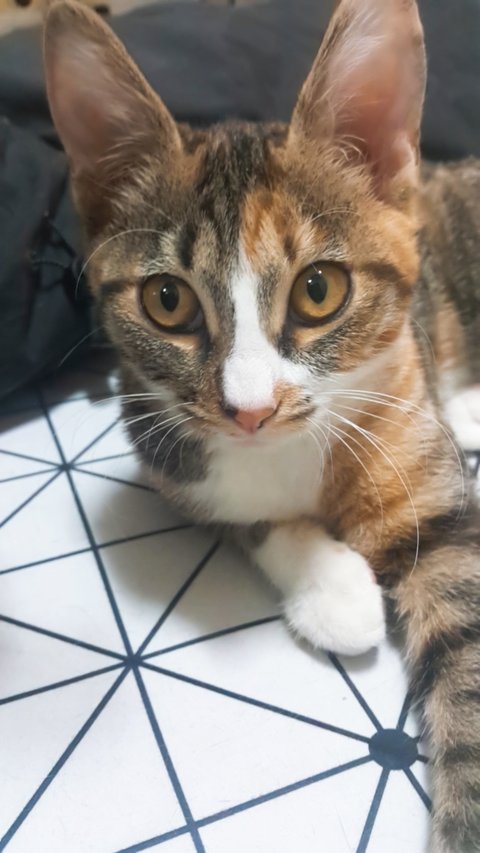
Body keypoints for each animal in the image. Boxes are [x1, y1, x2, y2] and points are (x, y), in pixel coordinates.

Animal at [44, 0, 480, 849]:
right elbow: (241, 513)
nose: (250, 408)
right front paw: (333, 587)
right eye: (168, 301)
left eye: (319, 289)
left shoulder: (409, 412)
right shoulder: (164, 447)